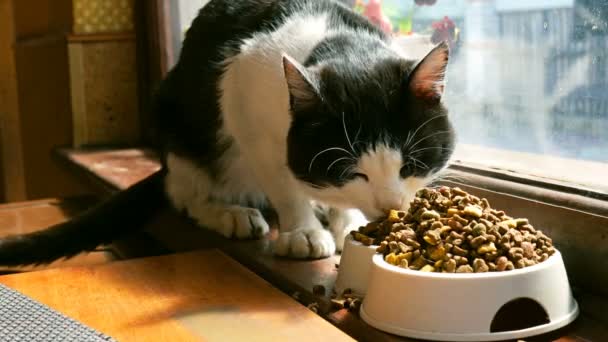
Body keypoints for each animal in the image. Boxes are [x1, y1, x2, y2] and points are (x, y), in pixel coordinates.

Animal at [0, 0, 456, 264]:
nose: (390, 206)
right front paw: (304, 231)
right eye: (353, 171)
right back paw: (228, 213)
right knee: (183, 191)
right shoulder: (243, 105)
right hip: (177, 121)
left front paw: (345, 222)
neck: (339, 42)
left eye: (412, 164)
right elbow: (282, 182)